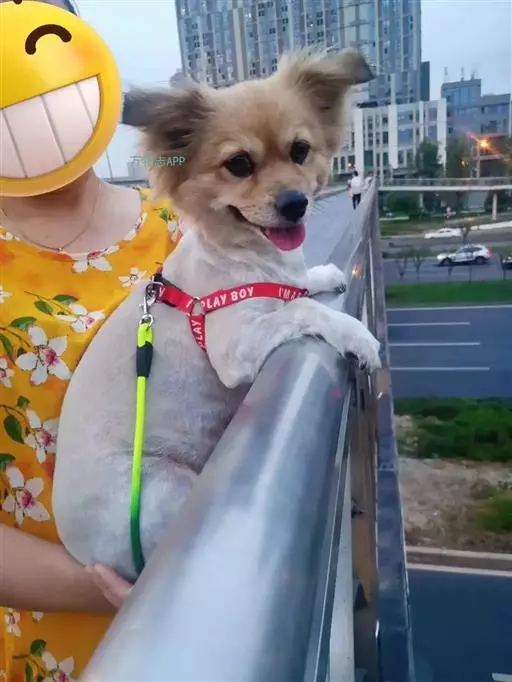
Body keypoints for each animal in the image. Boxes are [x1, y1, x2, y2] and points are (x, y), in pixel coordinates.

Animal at [53, 49, 381, 582]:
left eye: (300, 150)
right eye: (239, 164)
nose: (295, 203)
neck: (250, 260)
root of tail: (82, 552)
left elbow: (296, 290)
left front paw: (321, 274)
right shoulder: (235, 347)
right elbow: (300, 308)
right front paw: (355, 334)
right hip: (165, 489)